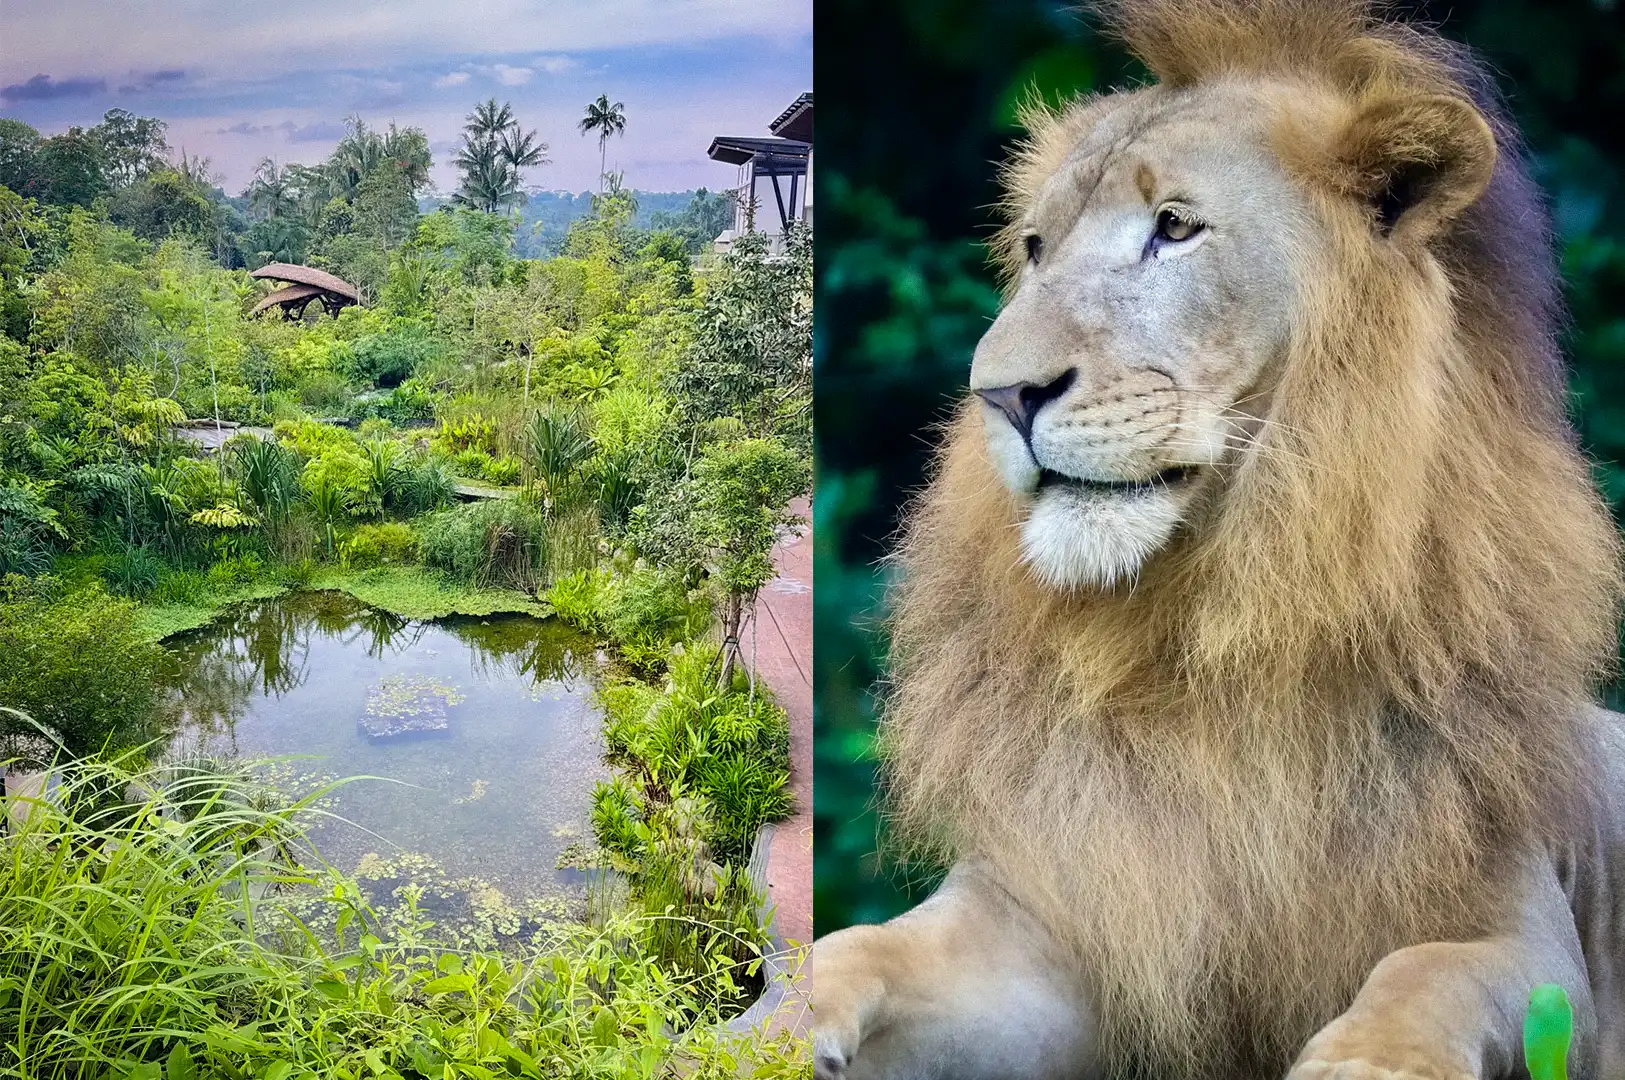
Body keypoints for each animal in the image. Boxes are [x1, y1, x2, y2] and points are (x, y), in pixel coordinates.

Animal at [811, 2, 1625, 1079]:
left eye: (1174, 227)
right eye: (1033, 249)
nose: (999, 393)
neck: (1208, 633)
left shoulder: (1521, 930)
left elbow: (1424, 976)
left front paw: (1358, 1063)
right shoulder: (1051, 912)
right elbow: (861, 948)